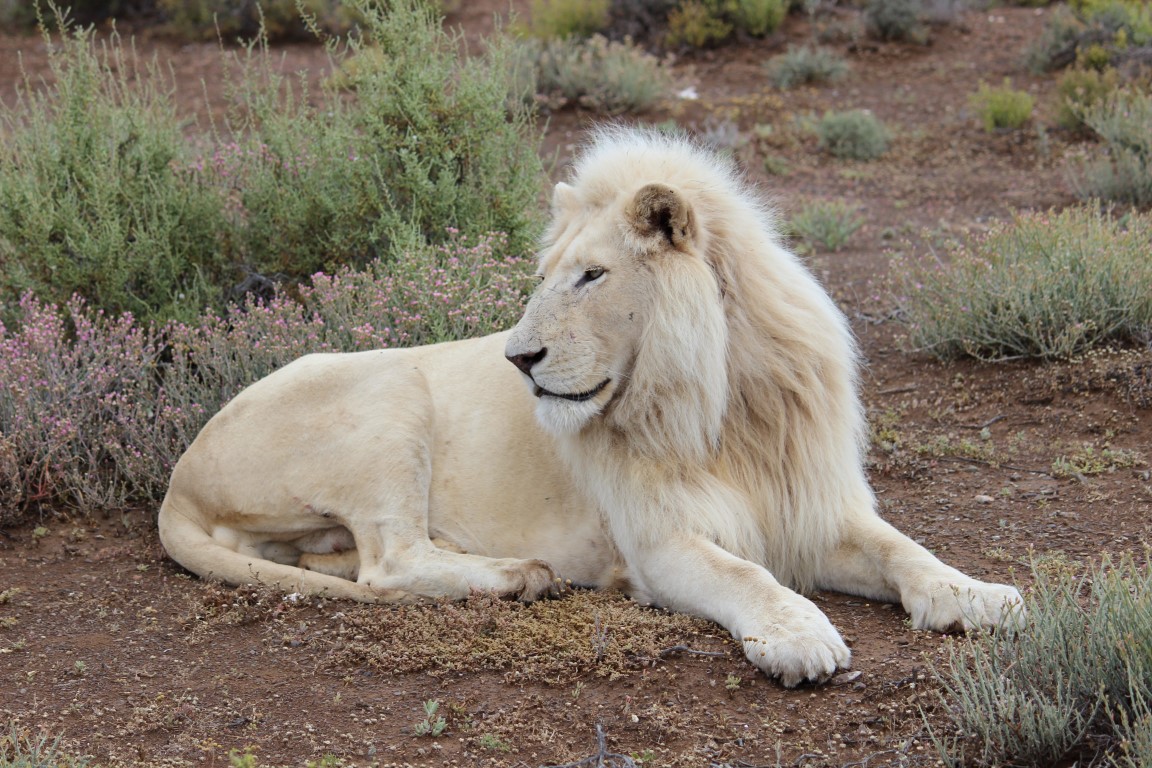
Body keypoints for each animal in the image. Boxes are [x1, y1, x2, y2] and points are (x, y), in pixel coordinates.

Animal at [157, 126, 1022, 686]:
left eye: (593, 275)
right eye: (547, 276)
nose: (517, 360)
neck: (724, 405)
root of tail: (178, 476)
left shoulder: (811, 506)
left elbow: (905, 550)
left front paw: (976, 596)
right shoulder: (658, 544)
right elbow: (746, 575)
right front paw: (799, 635)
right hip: (389, 393)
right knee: (388, 564)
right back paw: (521, 577)